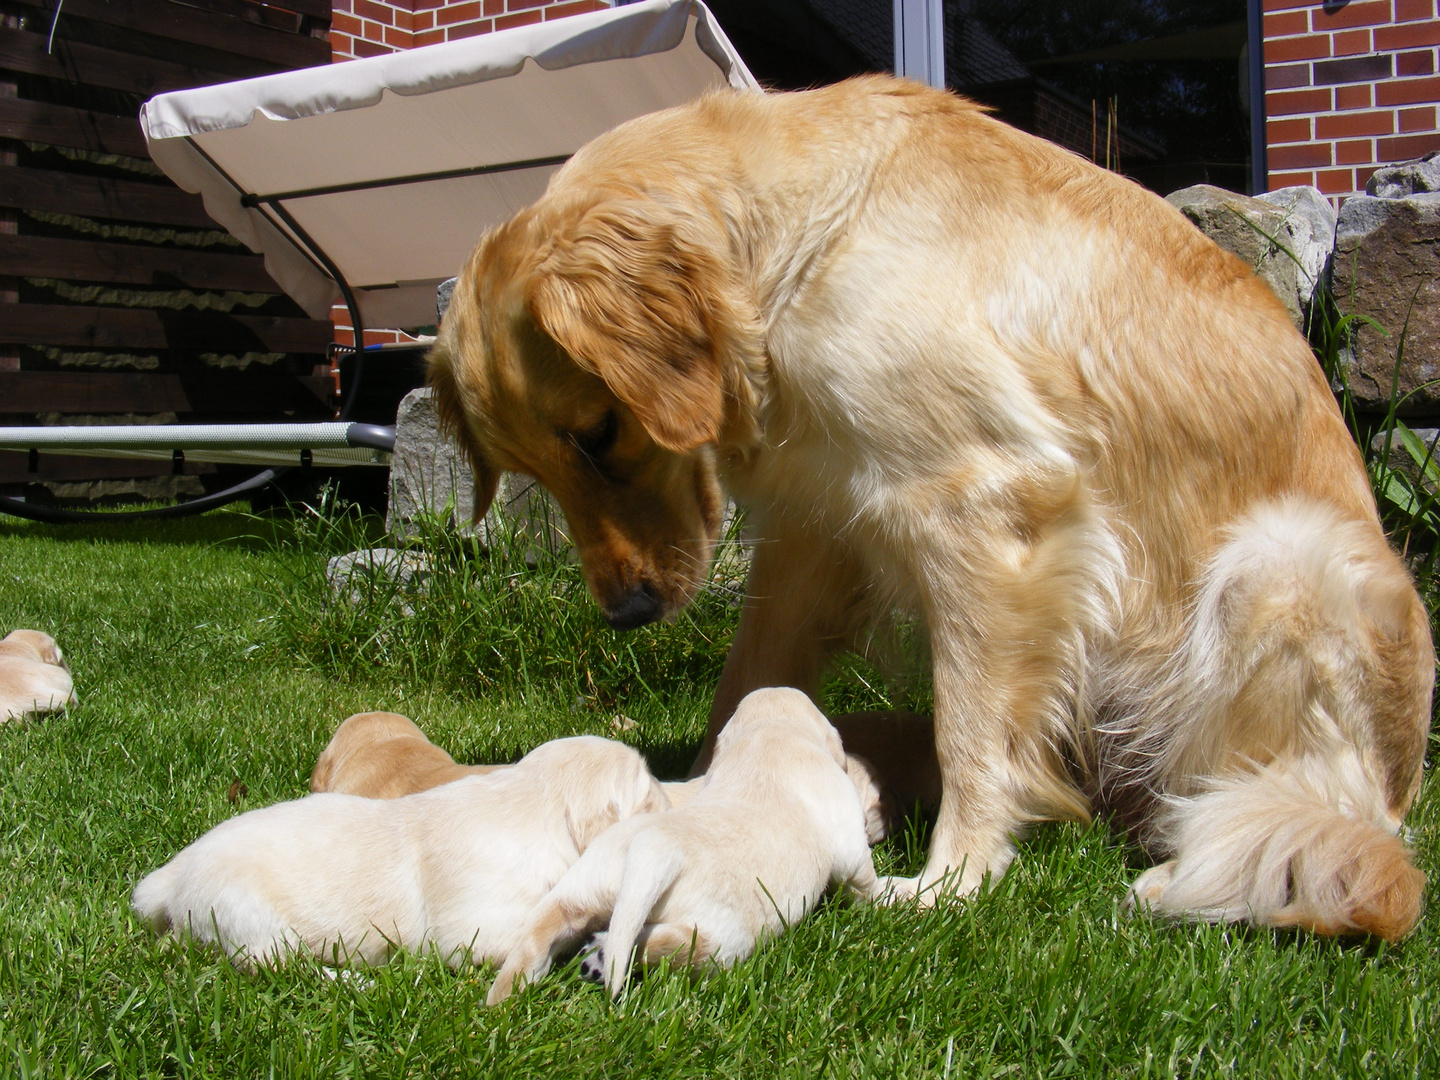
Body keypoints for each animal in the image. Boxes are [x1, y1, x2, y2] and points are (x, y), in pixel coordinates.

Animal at [131, 737, 668, 973]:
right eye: (646, 790)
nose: (673, 801)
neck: (532, 803)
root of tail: (175, 876)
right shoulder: (475, 933)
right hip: (258, 929)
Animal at [426, 74, 1428, 938]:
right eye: (534, 471)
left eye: (600, 433)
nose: (629, 612)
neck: (794, 244)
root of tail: (1397, 796)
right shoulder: (815, 523)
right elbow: (746, 683)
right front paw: (701, 798)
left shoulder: (984, 508)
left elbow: (972, 730)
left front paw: (956, 880)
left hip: (1279, 558)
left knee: (1296, 823)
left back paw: (1191, 873)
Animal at [489, 688, 881, 1013]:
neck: (771, 731)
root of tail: (657, 851)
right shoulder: (847, 841)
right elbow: (862, 878)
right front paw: (887, 895)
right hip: (725, 936)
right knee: (670, 945)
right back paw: (601, 951)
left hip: (584, 884)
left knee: (543, 933)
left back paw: (504, 996)